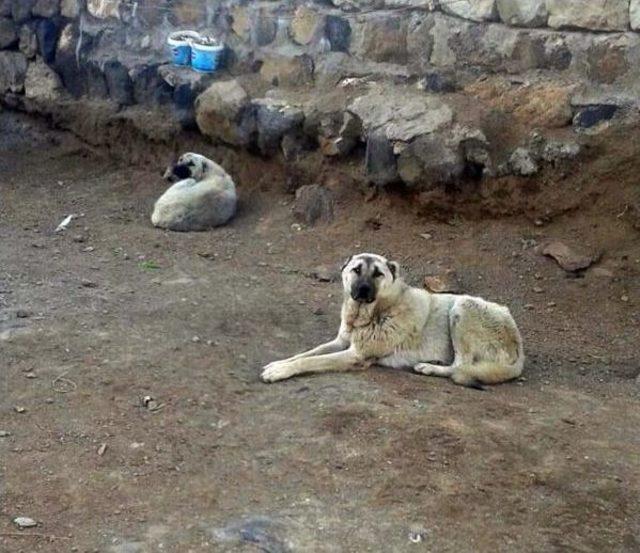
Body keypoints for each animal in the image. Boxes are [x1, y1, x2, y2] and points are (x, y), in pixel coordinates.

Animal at [262, 252, 524, 386]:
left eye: (378, 273)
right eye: (356, 270)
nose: (364, 289)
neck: (372, 313)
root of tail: (519, 348)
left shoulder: (355, 355)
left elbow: (311, 361)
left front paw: (280, 371)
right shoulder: (341, 342)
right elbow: (307, 353)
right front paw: (279, 363)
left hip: (462, 307)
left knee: (462, 366)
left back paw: (429, 368)